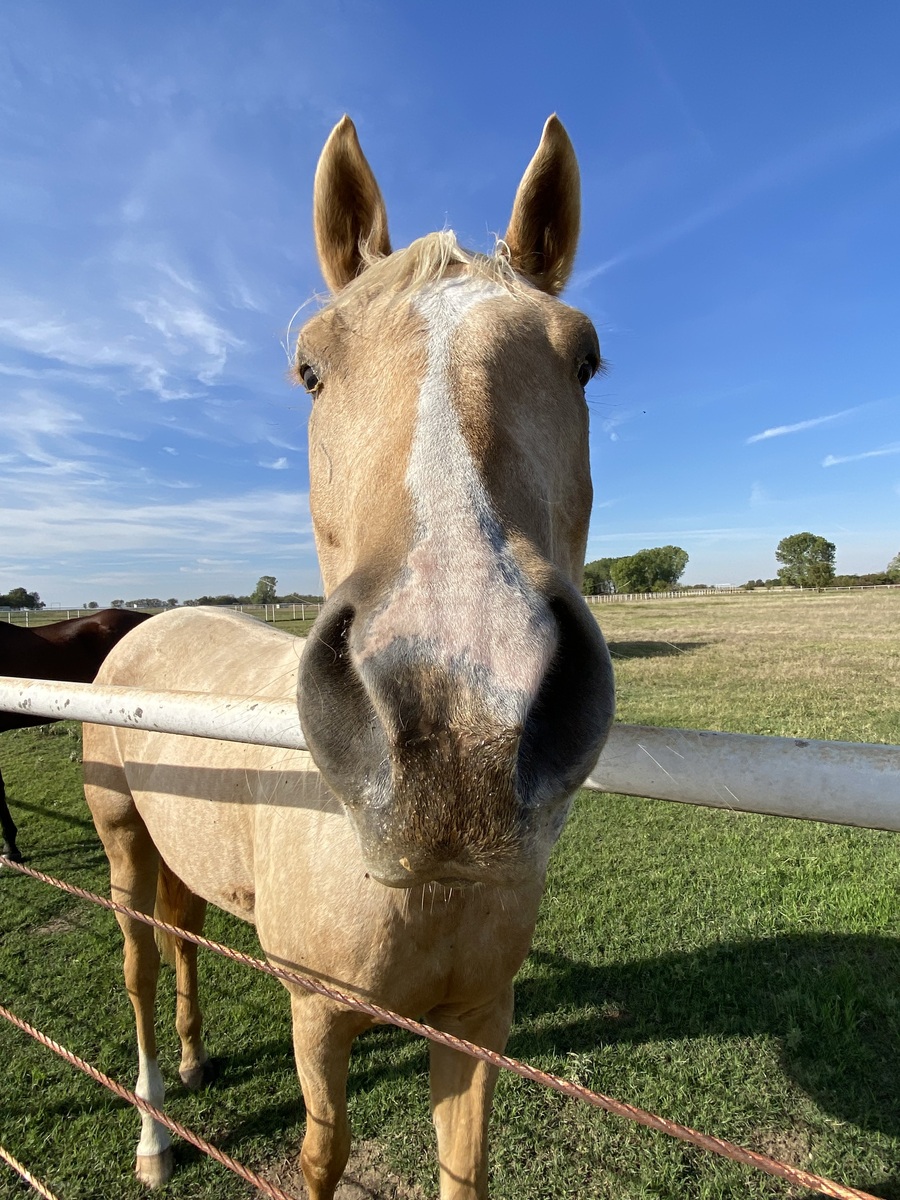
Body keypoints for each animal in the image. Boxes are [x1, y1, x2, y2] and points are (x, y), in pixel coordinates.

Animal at [82, 114, 615, 1199]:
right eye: (310, 370)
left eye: (584, 361)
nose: (458, 718)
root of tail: (145, 625)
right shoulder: (318, 1016)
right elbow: (323, 1153)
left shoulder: (476, 1023)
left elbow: (465, 1171)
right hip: (120, 844)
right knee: (141, 967)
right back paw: (155, 1130)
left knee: (186, 938)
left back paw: (195, 1060)